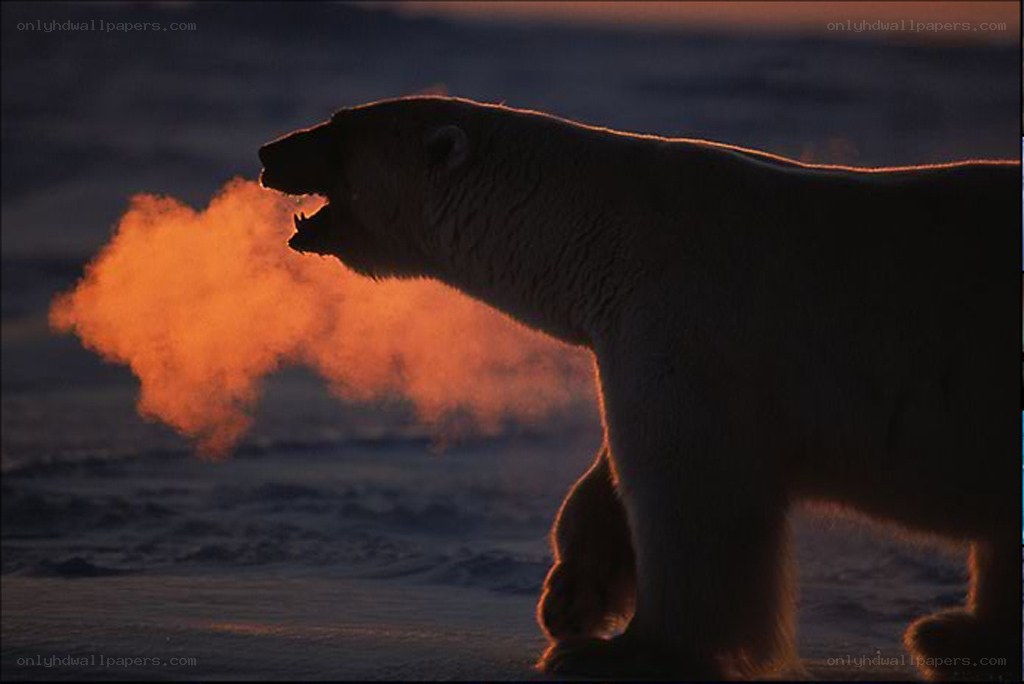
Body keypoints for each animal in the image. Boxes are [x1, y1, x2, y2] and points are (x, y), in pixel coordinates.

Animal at [258, 96, 1019, 681]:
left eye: (338, 129)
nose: (269, 150)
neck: (611, 233)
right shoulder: (639, 343)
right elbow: (610, 477)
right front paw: (571, 599)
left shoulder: (690, 325)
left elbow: (688, 490)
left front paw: (625, 654)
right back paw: (957, 633)